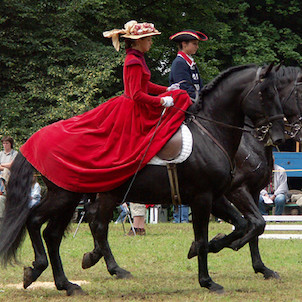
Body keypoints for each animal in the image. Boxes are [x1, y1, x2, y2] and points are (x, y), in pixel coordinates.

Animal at [0, 64, 284, 294]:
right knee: (42, 223)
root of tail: (35, 142)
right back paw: (46, 272)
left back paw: (66, 281)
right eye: (265, 93)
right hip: (67, 195)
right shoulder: (204, 197)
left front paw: (220, 247)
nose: (280, 135)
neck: (210, 131)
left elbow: (245, 225)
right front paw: (208, 281)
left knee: (55, 231)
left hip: (76, 197)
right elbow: (210, 237)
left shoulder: (217, 196)